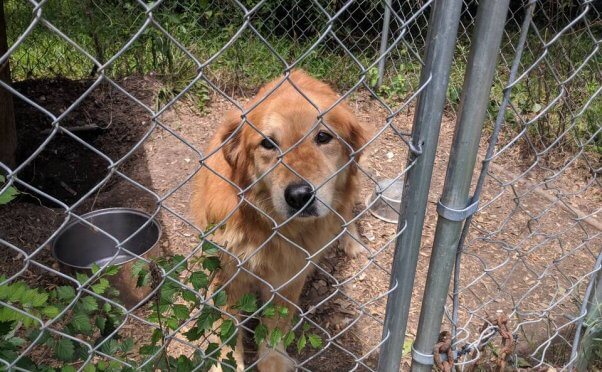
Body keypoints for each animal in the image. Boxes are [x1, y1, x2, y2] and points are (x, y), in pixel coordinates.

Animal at [192, 69, 368, 370]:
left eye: (323, 137)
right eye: (268, 143)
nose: (299, 196)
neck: (271, 229)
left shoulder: (290, 275)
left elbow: (276, 323)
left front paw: (273, 360)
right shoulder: (229, 273)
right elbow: (227, 326)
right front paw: (225, 362)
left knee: (346, 210)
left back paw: (352, 239)